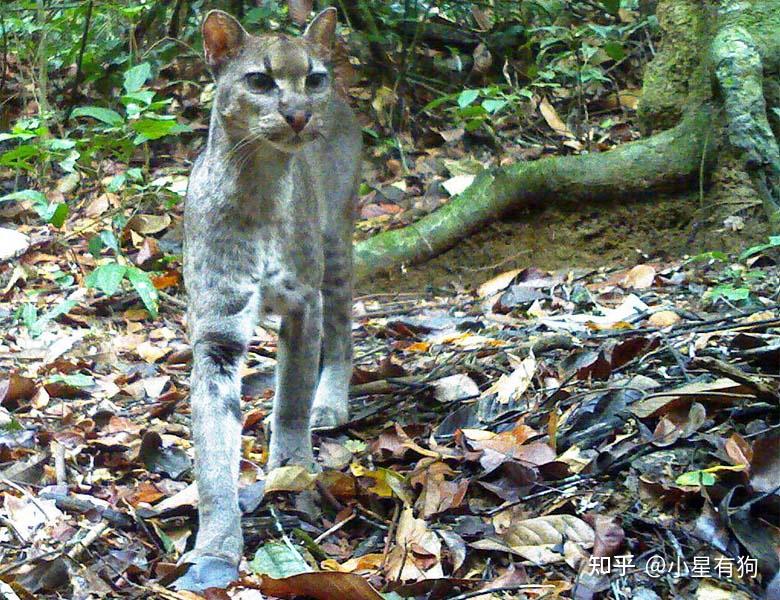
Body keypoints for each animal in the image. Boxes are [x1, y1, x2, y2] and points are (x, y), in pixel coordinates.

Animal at [175, 8, 362, 592]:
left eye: (313, 78)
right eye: (260, 80)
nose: (299, 114)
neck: (258, 181)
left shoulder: (303, 304)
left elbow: (291, 398)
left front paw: (293, 467)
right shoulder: (218, 333)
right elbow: (213, 451)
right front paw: (216, 549)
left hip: (335, 247)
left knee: (343, 335)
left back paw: (332, 401)